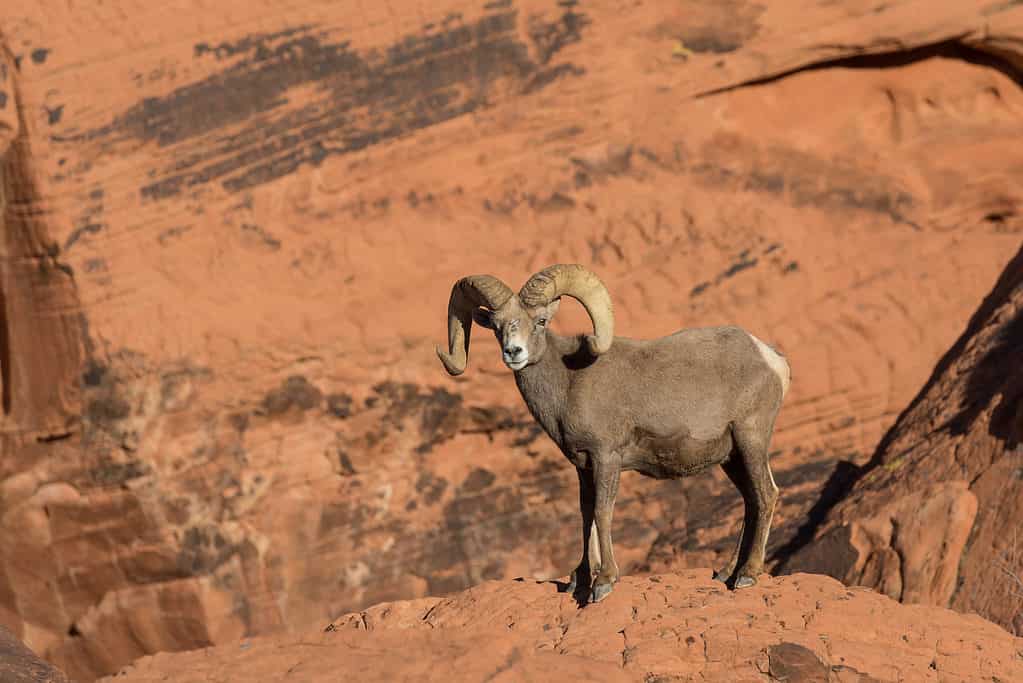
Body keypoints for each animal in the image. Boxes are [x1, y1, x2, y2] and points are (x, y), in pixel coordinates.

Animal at [435, 263, 785, 601]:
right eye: (497, 326)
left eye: (541, 321)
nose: (513, 352)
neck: (569, 382)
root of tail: (771, 360)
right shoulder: (583, 465)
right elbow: (586, 514)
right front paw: (579, 580)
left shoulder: (606, 457)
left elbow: (603, 512)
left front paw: (603, 583)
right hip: (731, 457)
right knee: (750, 500)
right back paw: (727, 573)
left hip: (750, 440)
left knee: (765, 495)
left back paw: (748, 575)